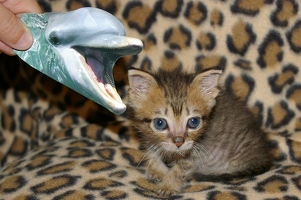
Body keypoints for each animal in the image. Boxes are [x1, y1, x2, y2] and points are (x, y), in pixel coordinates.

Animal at [126, 67, 272, 195]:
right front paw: (158, 172)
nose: (179, 142)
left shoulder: (196, 150)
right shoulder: (150, 138)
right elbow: (152, 154)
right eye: (160, 123)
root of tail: (265, 156)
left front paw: (168, 185)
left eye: (193, 122)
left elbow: (180, 169)